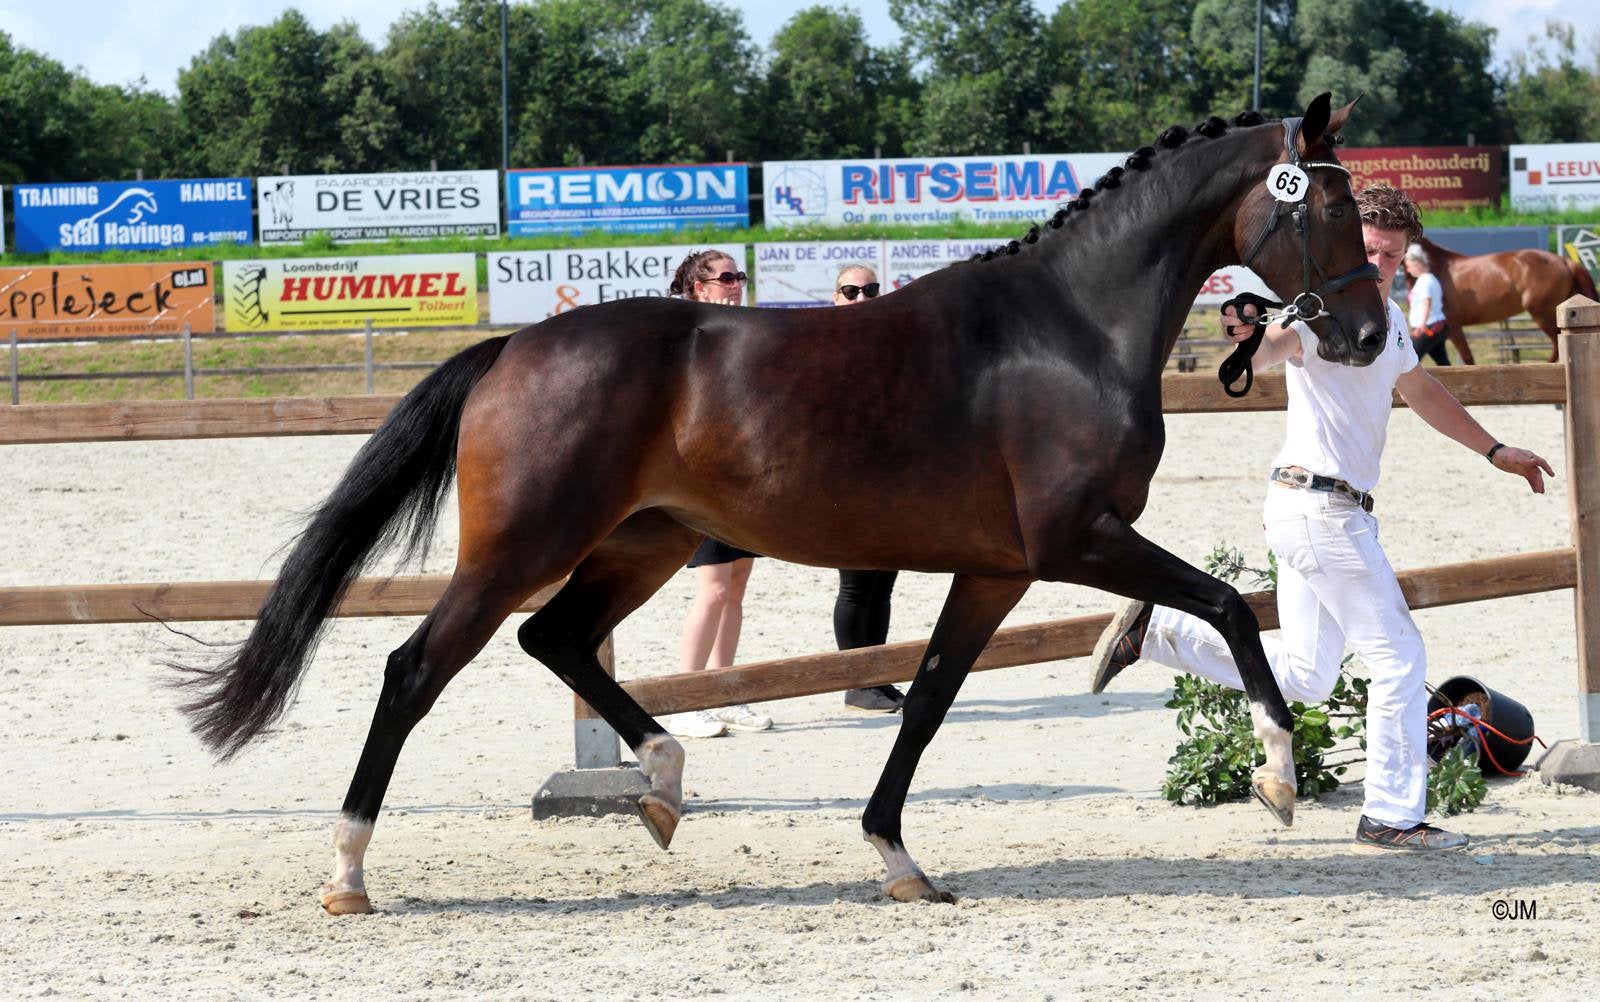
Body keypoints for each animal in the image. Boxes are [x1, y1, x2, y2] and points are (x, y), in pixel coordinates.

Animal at [175, 93, 1389, 914]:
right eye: (1332, 202)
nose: (1370, 333)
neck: (1070, 327)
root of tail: (515, 345)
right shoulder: (1077, 539)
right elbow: (1228, 606)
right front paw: (1279, 777)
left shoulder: (997, 568)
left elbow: (929, 696)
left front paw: (898, 858)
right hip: (525, 546)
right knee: (417, 668)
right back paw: (348, 871)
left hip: (642, 545)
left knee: (554, 639)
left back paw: (664, 783)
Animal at [1422, 235, 1599, 363]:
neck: (1436, 268)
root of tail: (1566, 261)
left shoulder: (1452, 324)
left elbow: (1466, 357)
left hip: (1543, 314)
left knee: (1556, 345)